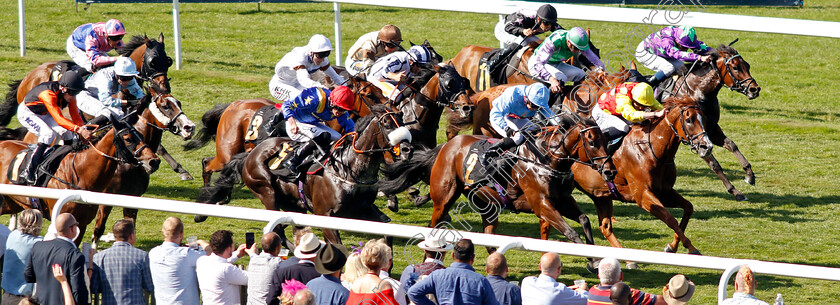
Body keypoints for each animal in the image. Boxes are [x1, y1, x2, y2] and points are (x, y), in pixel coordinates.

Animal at [0, 117, 159, 243]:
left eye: (141, 135)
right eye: (128, 138)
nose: (154, 161)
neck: (80, 175)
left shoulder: (82, 224)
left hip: (12, 203)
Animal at [199, 104, 416, 245]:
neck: (349, 169)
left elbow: (387, 230)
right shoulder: (325, 215)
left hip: (294, 204)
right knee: (278, 231)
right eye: (387, 124)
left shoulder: (362, 210)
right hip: (266, 192)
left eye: (403, 122)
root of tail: (251, 153)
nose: (407, 149)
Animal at [568, 95, 712, 262]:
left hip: (600, 195)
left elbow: (688, 208)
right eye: (688, 119)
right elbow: (670, 219)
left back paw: (629, 260)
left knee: (605, 227)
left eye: (705, 119)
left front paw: (672, 246)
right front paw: (692, 248)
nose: (707, 147)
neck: (651, 149)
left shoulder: (664, 192)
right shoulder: (642, 195)